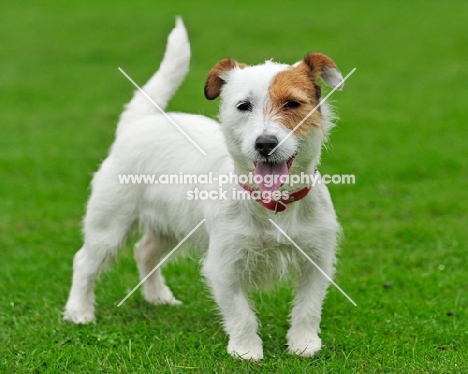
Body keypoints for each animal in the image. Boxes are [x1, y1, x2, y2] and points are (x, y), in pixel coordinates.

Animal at [64, 18, 346, 362]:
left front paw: (304, 343)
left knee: (145, 251)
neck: (273, 203)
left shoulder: (316, 260)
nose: (265, 144)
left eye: (292, 104)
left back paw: (157, 296)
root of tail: (139, 122)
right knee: (84, 262)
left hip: (171, 226)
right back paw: (79, 311)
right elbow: (241, 313)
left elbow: (308, 307)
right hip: (108, 226)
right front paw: (246, 349)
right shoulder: (223, 265)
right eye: (243, 106)